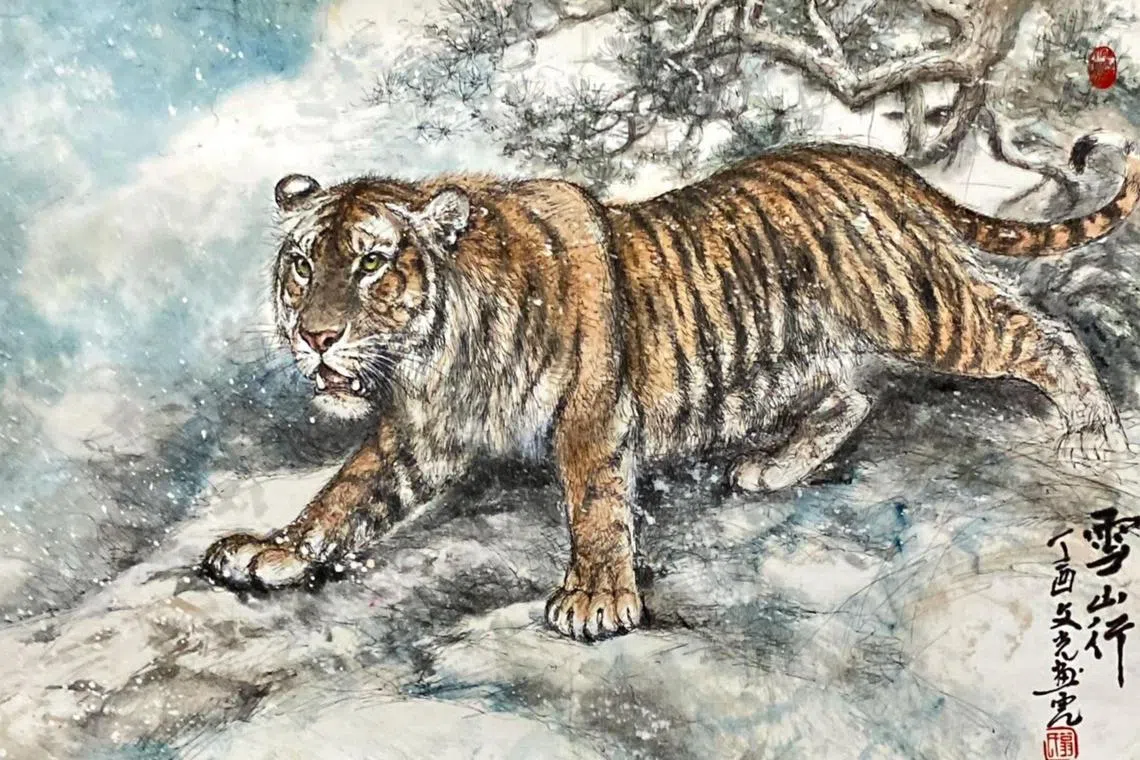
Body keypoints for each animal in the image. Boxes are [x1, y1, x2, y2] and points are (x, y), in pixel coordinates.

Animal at [202, 130, 1139, 641]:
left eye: (369, 264)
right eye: (301, 265)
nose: (314, 335)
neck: (435, 354)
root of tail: (883, 165)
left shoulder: (587, 414)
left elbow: (596, 505)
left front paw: (596, 600)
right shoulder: (420, 432)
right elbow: (344, 495)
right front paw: (273, 550)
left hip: (923, 310)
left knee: (1040, 334)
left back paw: (1093, 433)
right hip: (798, 355)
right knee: (851, 396)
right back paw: (772, 467)